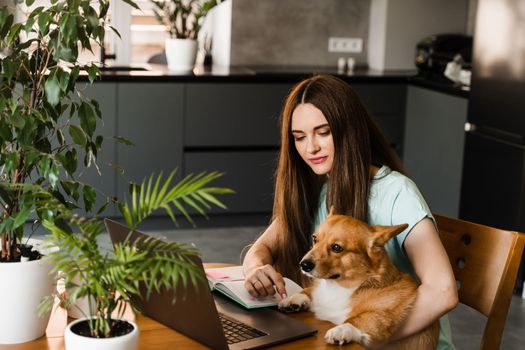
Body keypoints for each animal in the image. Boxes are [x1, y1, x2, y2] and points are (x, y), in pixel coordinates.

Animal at [278, 212, 438, 348]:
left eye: (336, 247)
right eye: (314, 238)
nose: (303, 265)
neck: (339, 287)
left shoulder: (383, 313)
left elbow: (362, 319)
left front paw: (341, 330)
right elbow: (309, 291)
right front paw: (294, 299)